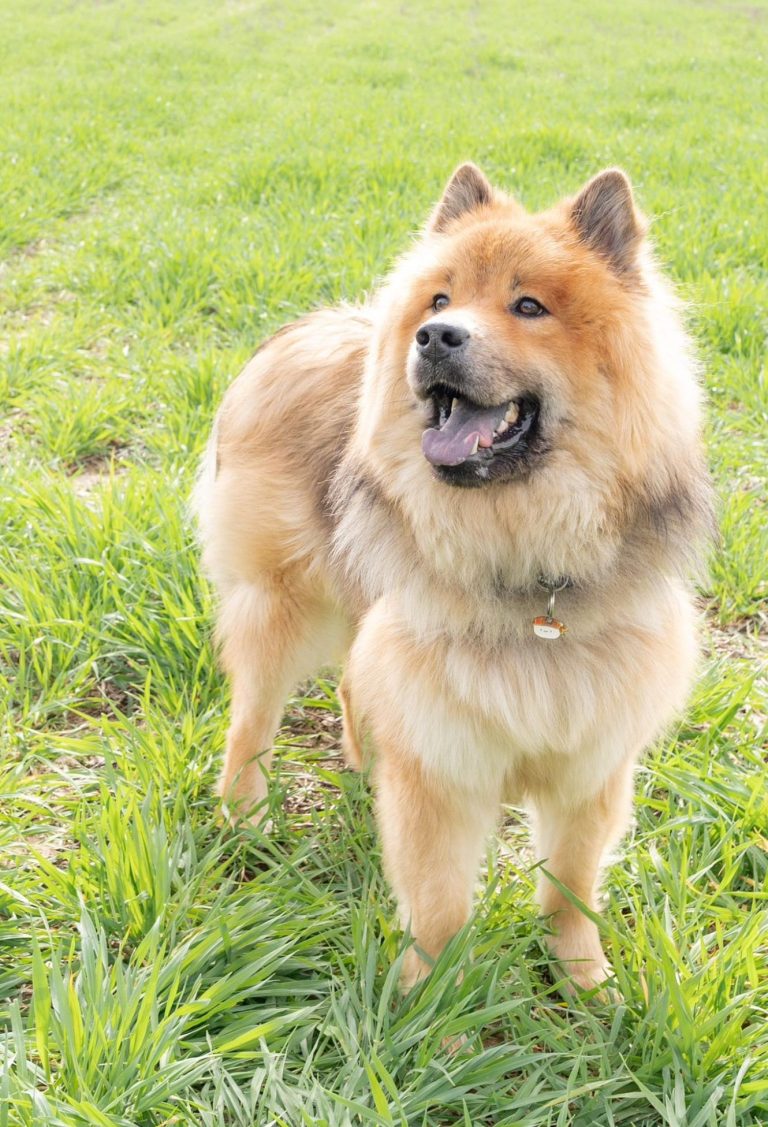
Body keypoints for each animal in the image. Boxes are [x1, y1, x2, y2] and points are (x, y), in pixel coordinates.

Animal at [195, 164, 712, 994]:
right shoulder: (442, 761)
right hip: (279, 603)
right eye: (440, 300)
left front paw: (584, 977)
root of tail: (303, 331)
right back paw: (246, 818)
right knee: (252, 723)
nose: (435, 336)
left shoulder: (593, 755)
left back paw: (366, 762)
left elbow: (572, 881)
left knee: (353, 682)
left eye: (528, 306)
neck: (528, 569)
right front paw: (429, 1002)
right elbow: (438, 901)